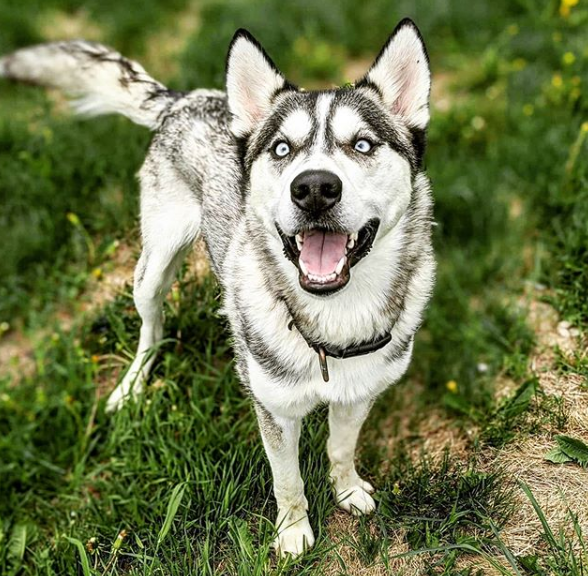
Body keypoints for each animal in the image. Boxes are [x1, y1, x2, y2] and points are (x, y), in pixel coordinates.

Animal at [1, 20, 436, 556]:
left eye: (363, 145)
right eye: (282, 149)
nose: (314, 187)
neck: (334, 317)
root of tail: (187, 99)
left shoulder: (358, 395)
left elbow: (340, 447)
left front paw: (347, 490)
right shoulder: (274, 412)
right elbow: (287, 480)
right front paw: (293, 533)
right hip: (152, 269)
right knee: (151, 329)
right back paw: (132, 385)